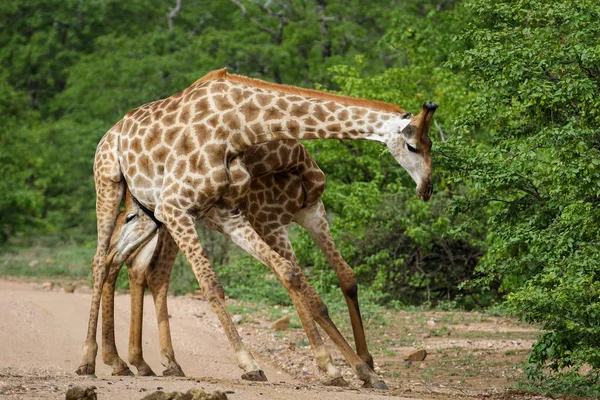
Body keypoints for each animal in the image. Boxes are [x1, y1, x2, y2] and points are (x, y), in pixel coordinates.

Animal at [101, 141, 372, 388]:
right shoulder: (270, 224)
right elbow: (310, 297)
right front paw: (350, 368)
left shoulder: (313, 212)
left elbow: (346, 277)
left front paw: (366, 363)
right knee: (132, 262)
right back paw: (129, 361)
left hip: (164, 225)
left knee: (141, 268)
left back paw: (150, 362)